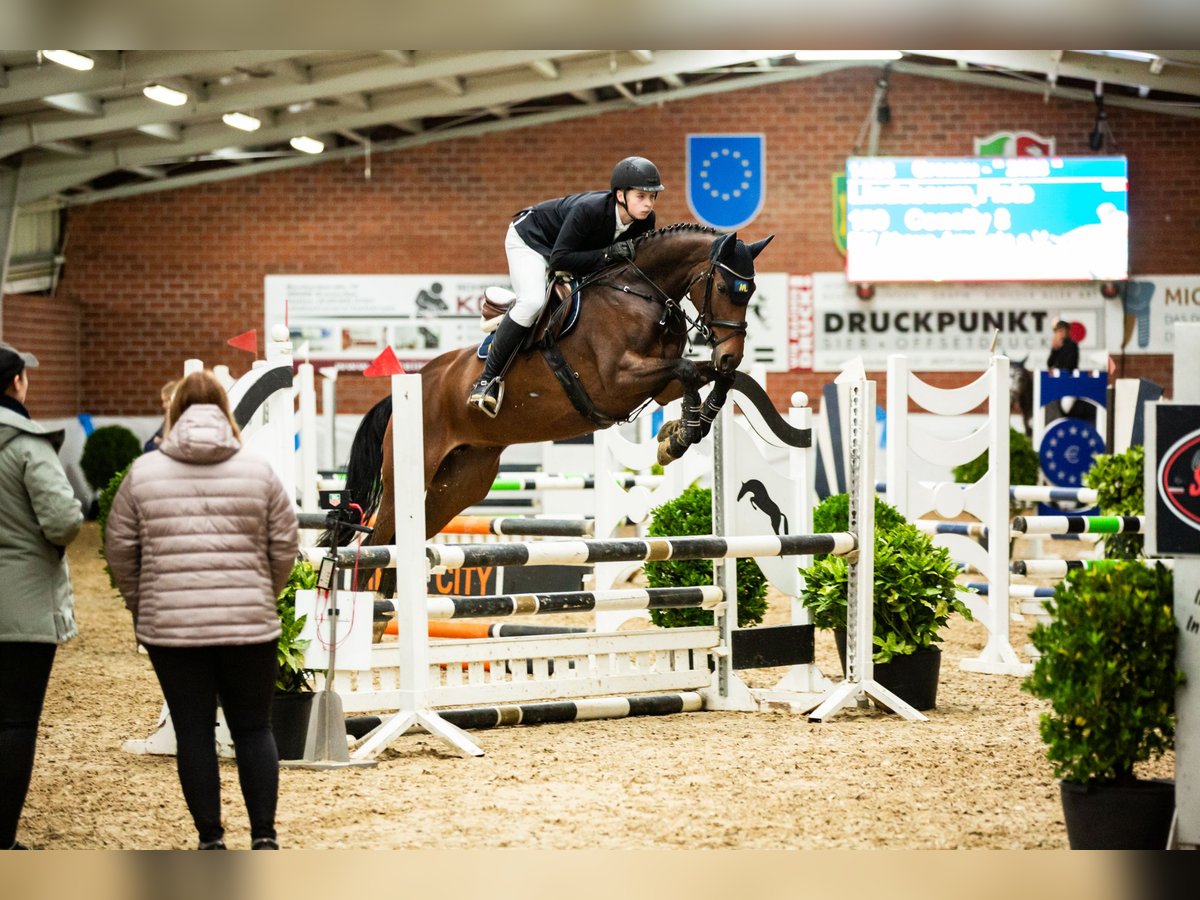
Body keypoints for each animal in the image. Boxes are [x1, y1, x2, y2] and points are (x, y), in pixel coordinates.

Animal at [332, 225, 773, 582]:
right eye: (724, 289)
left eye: (750, 293)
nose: (730, 354)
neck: (642, 293)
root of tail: (410, 385)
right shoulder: (617, 381)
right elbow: (687, 371)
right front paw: (681, 436)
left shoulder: (658, 386)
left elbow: (706, 376)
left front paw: (681, 431)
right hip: (410, 474)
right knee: (379, 541)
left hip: (460, 482)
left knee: (401, 546)